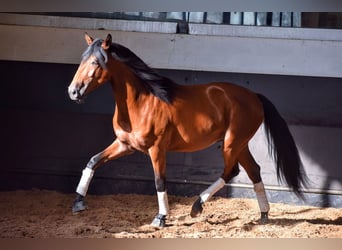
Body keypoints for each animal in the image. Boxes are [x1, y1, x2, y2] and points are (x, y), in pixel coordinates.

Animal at [67, 32, 308, 227]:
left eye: (96, 62)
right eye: (82, 59)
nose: (73, 91)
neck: (141, 102)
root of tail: (254, 97)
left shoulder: (157, 150)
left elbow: (160, 181)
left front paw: (160, 218)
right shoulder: (125, 145)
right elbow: (93, 161)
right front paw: (78, 203)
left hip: (232, 142)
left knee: (231, 171)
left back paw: (197, 207)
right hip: (240, 144)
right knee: (253, 170)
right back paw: (264, 214)